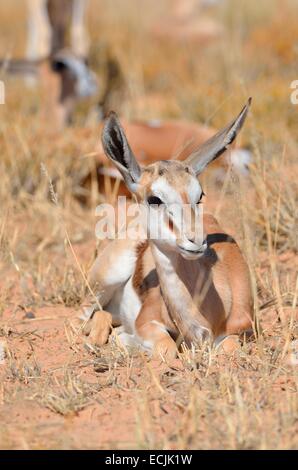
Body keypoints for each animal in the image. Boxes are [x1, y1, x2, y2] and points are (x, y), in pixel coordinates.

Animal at [81, 98, 254, 356]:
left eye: (200, 195)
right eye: (154, 198)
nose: (196, 241)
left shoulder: (242, 331)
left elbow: (228, 347)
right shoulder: (146, 322)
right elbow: (167, 348)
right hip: (105, 280)